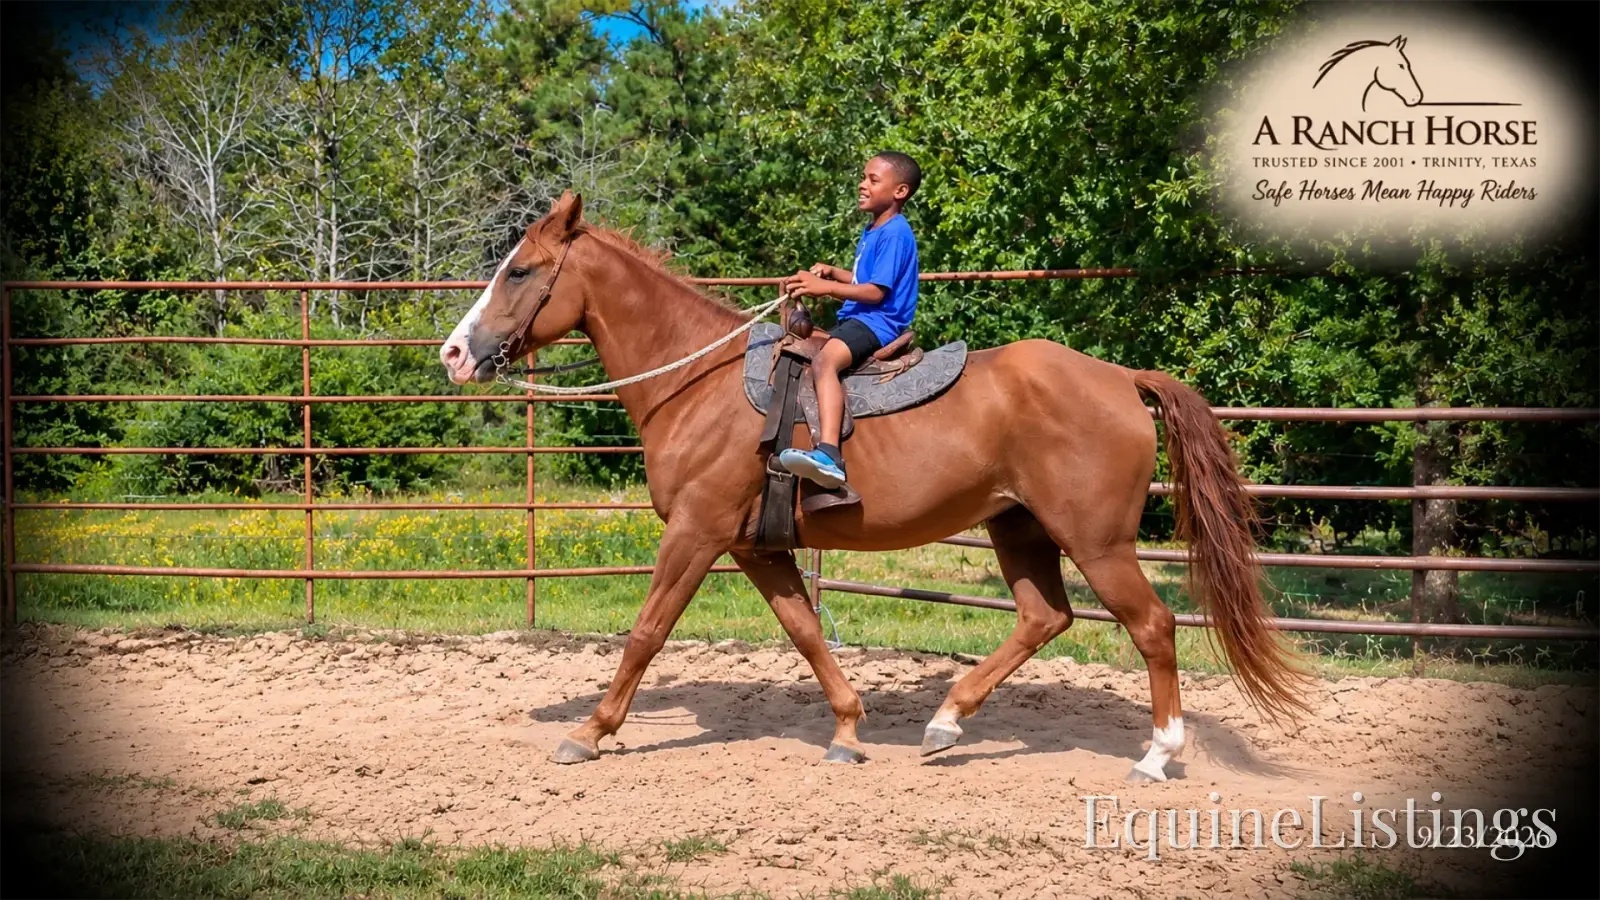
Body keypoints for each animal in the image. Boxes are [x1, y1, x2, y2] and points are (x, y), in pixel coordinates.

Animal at [438, 191, 1313, 782]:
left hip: (1096, 540)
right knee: (1045, 617)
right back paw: (946, 722)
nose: (453, 353)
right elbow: (804, 632)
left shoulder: (695, 532)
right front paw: (849, 732)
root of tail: (1121, 380)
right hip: (1018, 527)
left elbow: (648, 632)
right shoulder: (755, 548)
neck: (698, 382)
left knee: (1153, 626)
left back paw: (1157, 754)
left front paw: (589, 732)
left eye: (520, 271)